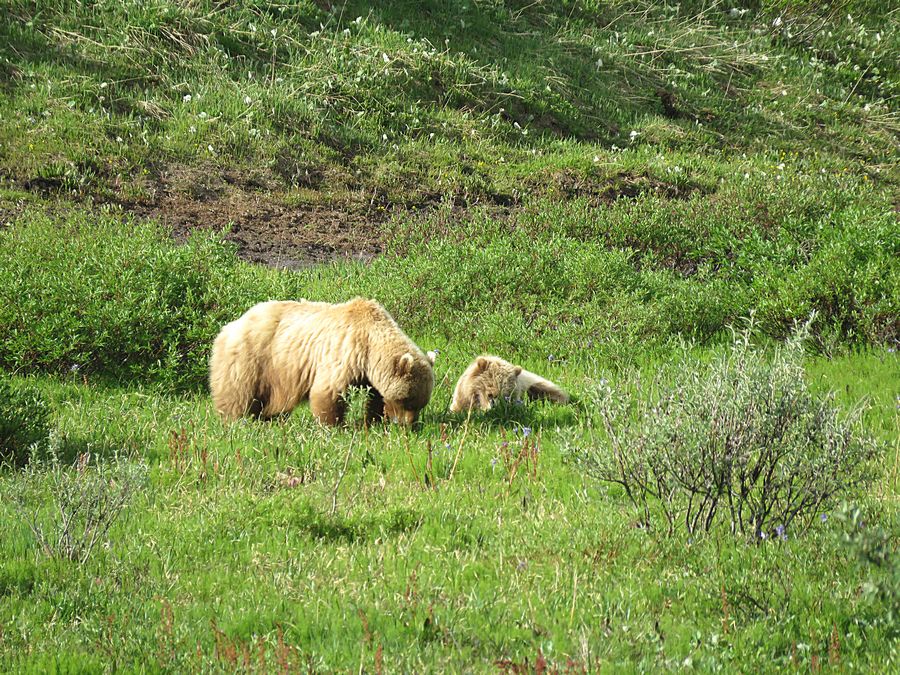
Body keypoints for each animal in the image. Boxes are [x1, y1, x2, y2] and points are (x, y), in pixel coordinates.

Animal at [211, 298, 436, 426]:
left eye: (421, 403)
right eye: (407, 399)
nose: (408, 425)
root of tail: (230, 325)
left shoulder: (371, 374)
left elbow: (377, 397)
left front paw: (375, 421)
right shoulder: (346, 352)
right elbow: (328, 391)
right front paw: (334, 426)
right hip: (251, 358)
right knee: (237, 393)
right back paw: (236, 422)